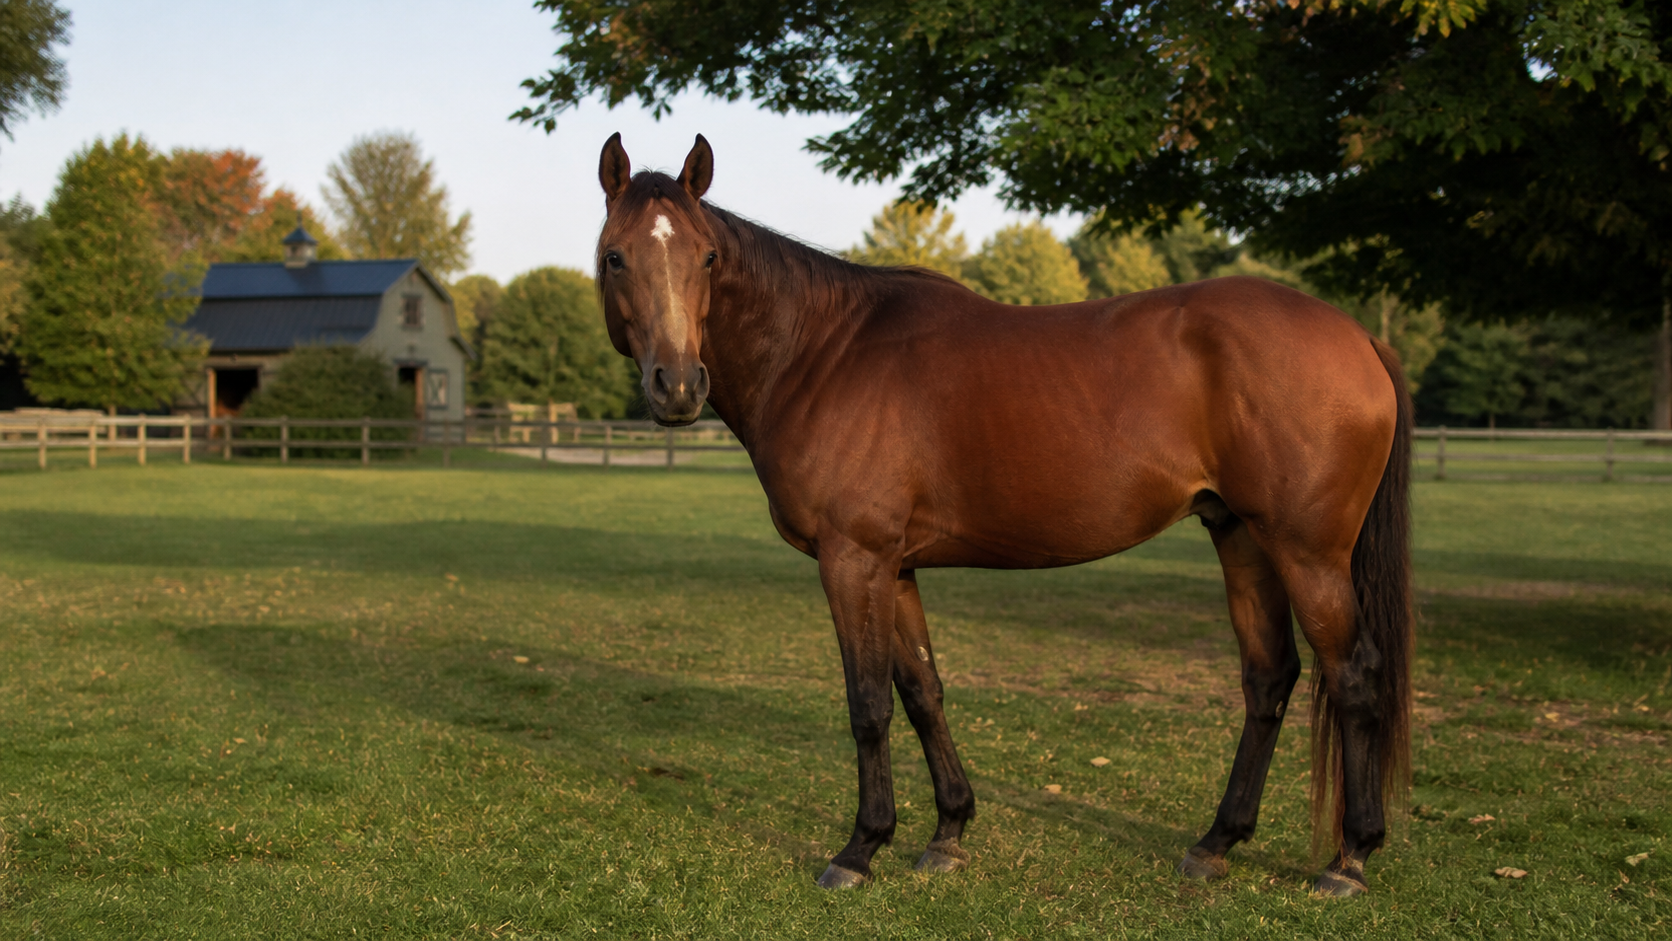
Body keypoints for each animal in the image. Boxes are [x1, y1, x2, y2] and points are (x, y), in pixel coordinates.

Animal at [591, 133, 1413, 898]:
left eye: (706, 257)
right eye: (615, 258)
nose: (677, 386)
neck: (821, 353)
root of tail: (1359, 336)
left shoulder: (852, 559)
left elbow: (867, 704)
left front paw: (861, 848)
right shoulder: (895, 567)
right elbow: (922, 693)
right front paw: (948, 832)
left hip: (1307, 552)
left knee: (1354, 674)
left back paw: (1350, 858)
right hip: (1240, 536)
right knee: (1269, 676)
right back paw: (1217, 841)